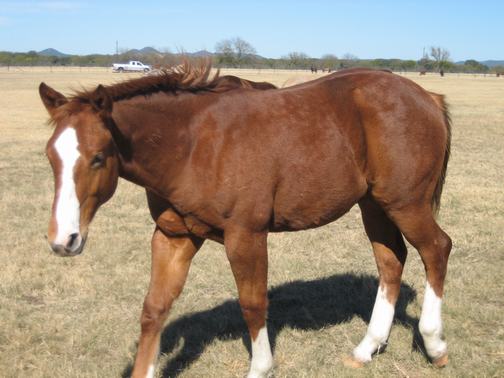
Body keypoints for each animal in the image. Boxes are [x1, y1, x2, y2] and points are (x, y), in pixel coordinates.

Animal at [38, 63, 448, 376]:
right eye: (50, 156)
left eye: (98, 157)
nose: (63, 240)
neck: (192, 146)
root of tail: (427, 96)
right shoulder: (173, 236)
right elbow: (154, 308)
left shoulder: (245, 236)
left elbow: (252, 304)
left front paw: (261, 366)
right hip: (374, 205)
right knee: (391, 261)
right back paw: (367, 348)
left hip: (406, 204)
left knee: (436, 249)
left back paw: (434, 344)